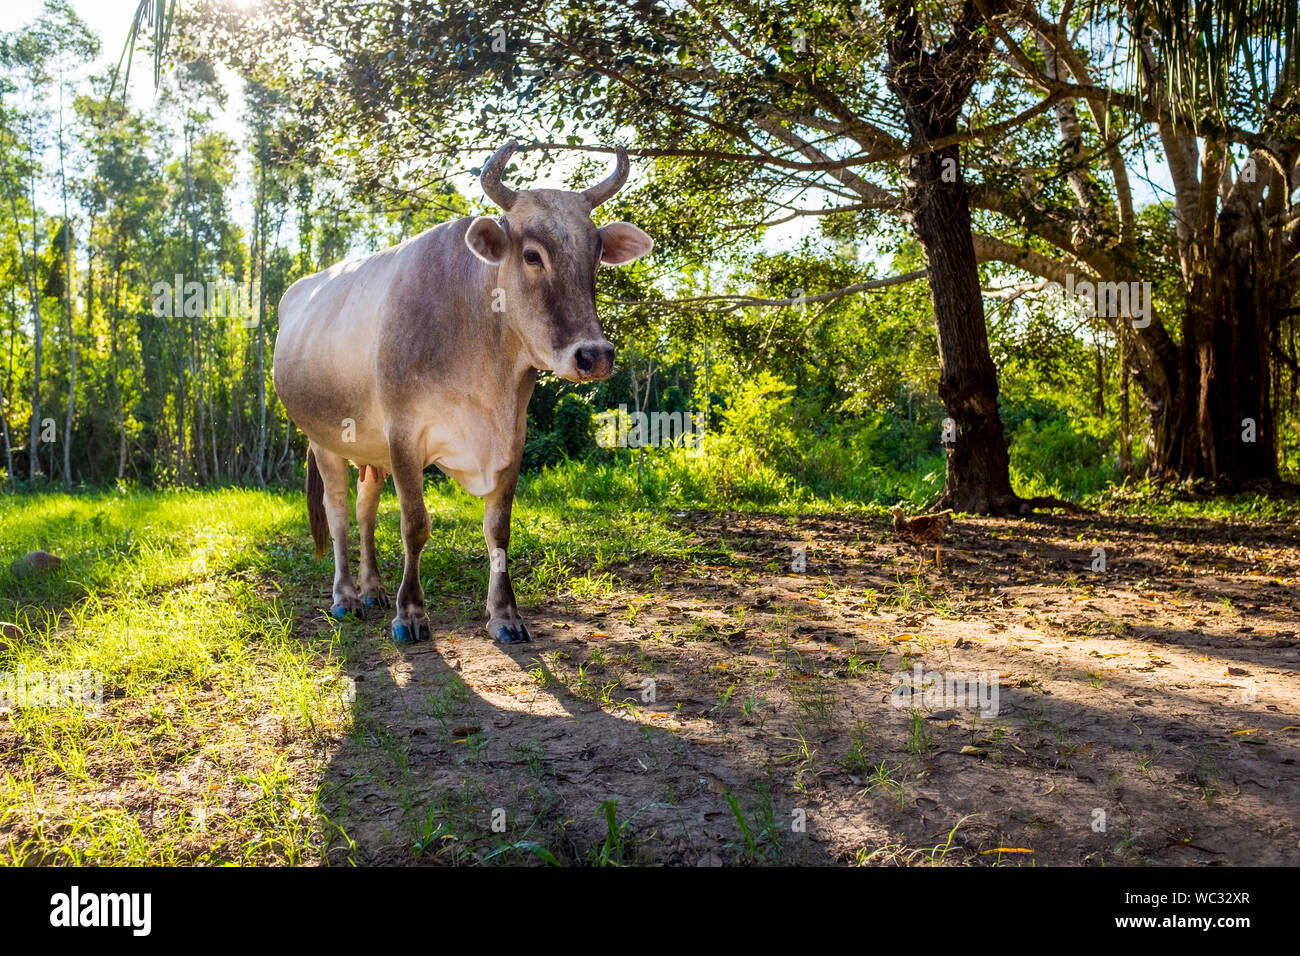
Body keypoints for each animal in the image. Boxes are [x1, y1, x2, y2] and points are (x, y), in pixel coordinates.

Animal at [273, 141, 653, 645]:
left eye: (595, 256)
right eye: (532, 255)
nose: (595, 355)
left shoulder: (513, 436)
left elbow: (498, 529)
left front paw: (505, 615)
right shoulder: (404, 434)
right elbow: (415, 525)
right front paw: (411, 613)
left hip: (370, 450)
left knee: (365, 510)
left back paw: (373, 590)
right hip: (323, 440)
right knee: (337, 514)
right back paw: (346, 598)